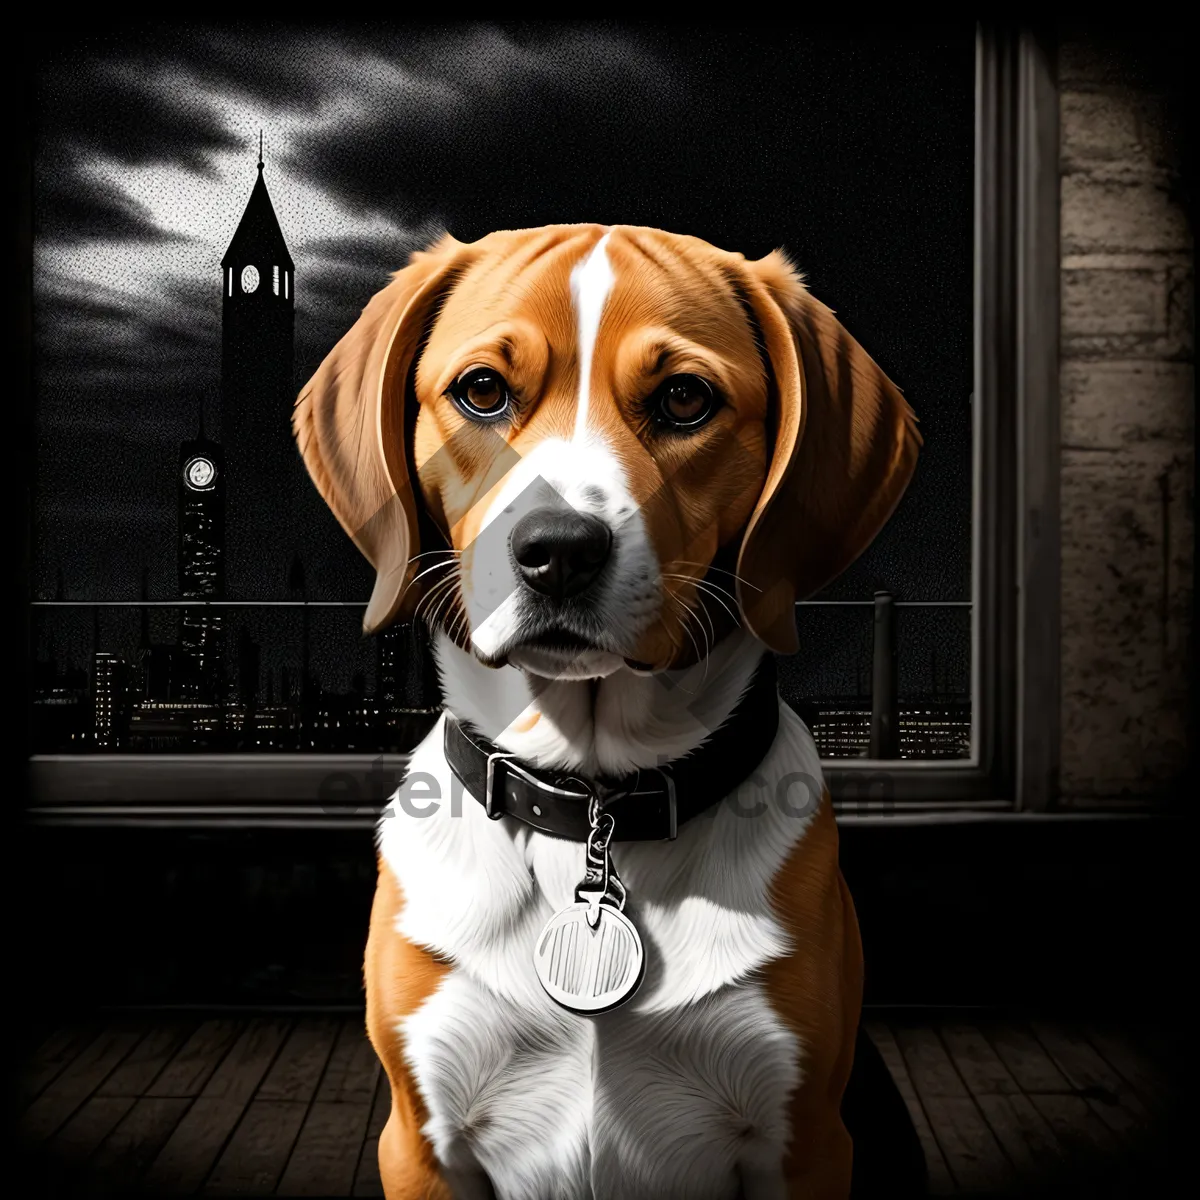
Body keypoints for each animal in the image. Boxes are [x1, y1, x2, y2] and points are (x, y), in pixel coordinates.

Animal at [297, 220, 916, 1195]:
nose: (557, 550)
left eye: (685, 399)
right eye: (482, 391)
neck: (592, 802)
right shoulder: (422, 1141)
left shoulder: (807, 1143)